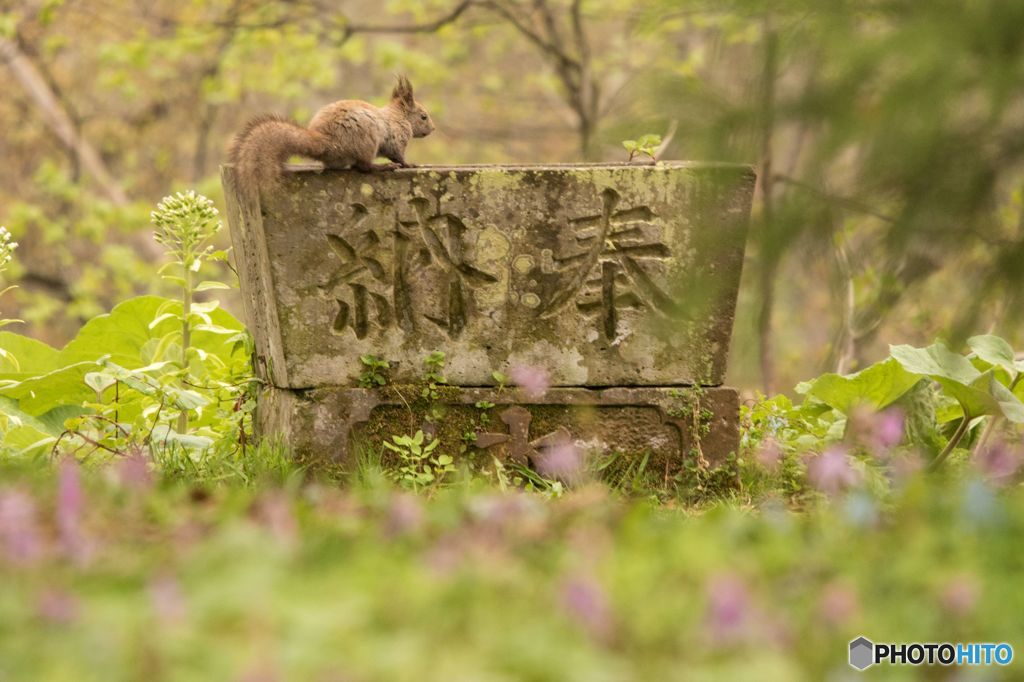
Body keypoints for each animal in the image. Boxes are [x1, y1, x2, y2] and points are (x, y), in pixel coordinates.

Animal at [228, 74, 436, 191]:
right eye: (424, 116)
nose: (433, 129)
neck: (398, 116)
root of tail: (328, 144)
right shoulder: (395, 138)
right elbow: (397, 155)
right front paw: (409, 164)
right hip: (366, 141)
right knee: (363, 167)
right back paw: (382, 167)